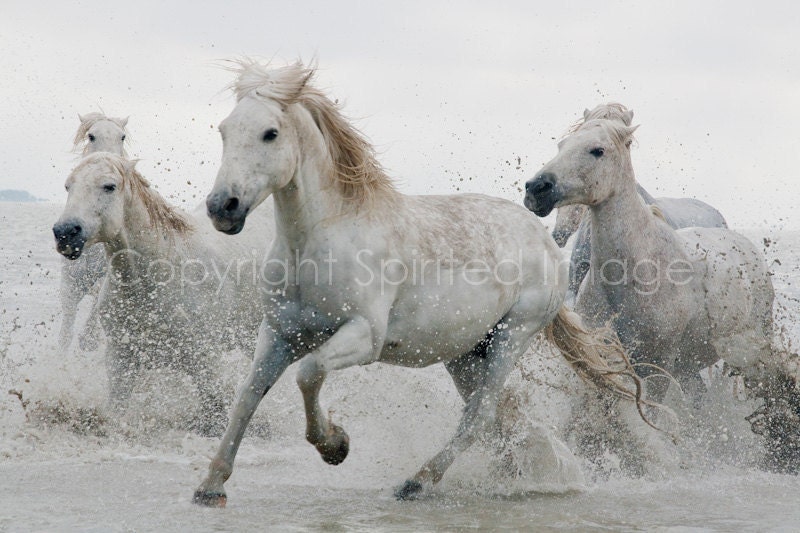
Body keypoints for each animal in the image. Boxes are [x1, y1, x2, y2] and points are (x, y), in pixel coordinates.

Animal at [58, 112, 131, 349]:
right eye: (91, 136)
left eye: (122, 136)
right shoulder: (70, 286)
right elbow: (65, 335)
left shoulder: (103, 283)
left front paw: (88, 341)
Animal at [191, 59, 653, 506]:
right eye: (224, 130)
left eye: (270, 133)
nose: (222, 207)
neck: (321, 240)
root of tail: (544, 239)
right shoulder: (278, 333)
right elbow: (247, 397)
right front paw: (211, 486)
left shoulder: (363, 336)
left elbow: (309, 373)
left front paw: (334, 445)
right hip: (467, 352)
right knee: (498, 413)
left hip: (513, 335)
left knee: (481, 414)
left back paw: (418, 482)